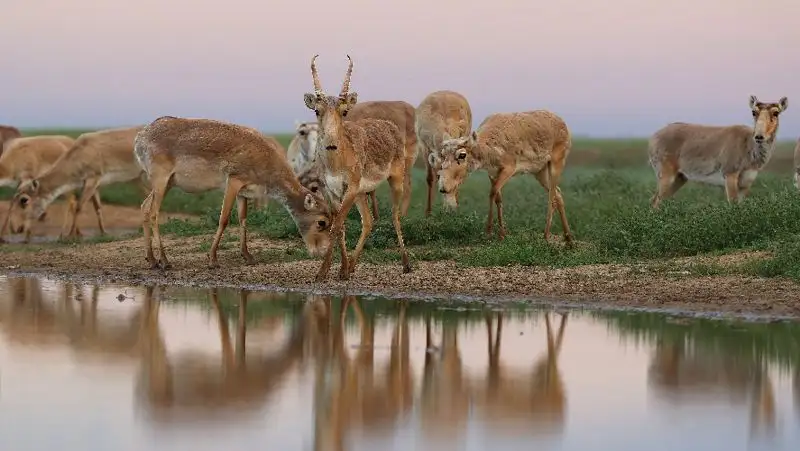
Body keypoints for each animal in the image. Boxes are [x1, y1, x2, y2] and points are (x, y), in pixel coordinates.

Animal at [15, 125, 148, 242]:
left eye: (24, 200)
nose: (19, 228)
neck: (77, 156)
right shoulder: (94, 185)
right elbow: (97, 207)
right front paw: (103, 233)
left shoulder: (92, 178)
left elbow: (79, 207)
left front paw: (70, 235)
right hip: (138, 177)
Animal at [134, 117, 332, 272]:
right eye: (321, 222)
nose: (322, 252)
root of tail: (139, 138)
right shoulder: (233, 181)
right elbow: (224, 219)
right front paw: (213, 259)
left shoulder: (244, 192)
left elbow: (243, 219)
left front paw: (248, 256)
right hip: (161, 179)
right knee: (154, 213)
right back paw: (165, 261)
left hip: (168, 183)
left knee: (144, 207)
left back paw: (151, 260)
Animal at [302, 54, 412, 280]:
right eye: (317, 110)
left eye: (344, 112)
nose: (331, 144)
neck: (336, 163)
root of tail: (390, 126)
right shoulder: (330, 191)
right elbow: (340, 225)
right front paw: (340, 269)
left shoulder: (350, 188)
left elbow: (336, 226)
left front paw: (323, 272)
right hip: (362, 193)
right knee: (368, 221)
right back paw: (352, 265)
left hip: (395, 180)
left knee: (395, 216)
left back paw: (406, 264)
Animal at [432, 110, 576, 244]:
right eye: (443, 154)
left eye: (462, 155)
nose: (443, 188)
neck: (489, 147)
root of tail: (563, 123)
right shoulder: (493, 173)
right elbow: (498, 198)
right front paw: (502, 234)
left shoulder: (509, 168)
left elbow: (492, 193)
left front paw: (489, 231)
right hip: (540, 171)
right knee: (558, 193)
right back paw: (568, 238)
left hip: (556, 163)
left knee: (552, 196)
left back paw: (546, 236)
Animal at [648, 96, 788, 209]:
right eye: (754, 112)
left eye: (776, 113)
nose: (759, 136)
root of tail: (653, 137)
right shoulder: (729, 174)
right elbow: (733, 204)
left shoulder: (746, 183)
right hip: (665, 175)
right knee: (655, 201)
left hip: (680, 177)